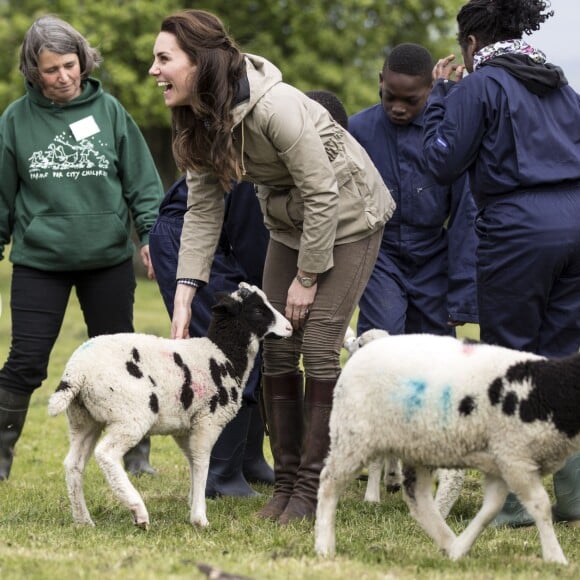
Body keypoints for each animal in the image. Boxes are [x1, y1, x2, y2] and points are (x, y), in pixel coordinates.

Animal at [47, 280, 292, 532]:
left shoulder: (184, 427)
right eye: (258, 310)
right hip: (130, 415)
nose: (290, 328)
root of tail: (76, 373)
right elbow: (202, 462)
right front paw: (200, 517)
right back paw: (138, 511)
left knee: (73, 464)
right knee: (106, 454)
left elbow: (193, 461)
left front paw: (193, 503)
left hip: (84, 419)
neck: (225, 354)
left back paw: (83, 520)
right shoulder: (207, 420)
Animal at [318, 334, 580, 564]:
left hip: (418, 447)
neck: (546, 392)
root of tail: (358, 355)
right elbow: (540, 506)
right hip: (354, 437)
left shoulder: (501, 464)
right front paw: (555, 557)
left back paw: (446, 540)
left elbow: (490, 510)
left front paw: (460, 549)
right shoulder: (516, 461)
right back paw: (324, 546)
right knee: (329, 484)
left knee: (417, 497)